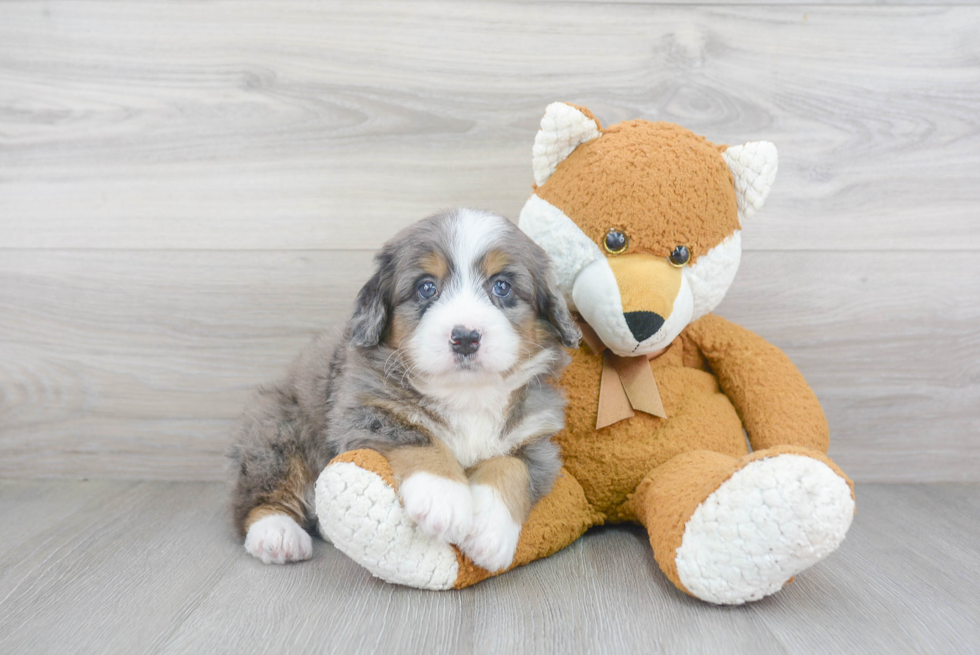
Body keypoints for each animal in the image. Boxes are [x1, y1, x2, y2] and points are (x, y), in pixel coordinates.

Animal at [228, 208, 580, 572]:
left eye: (502, 286)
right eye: (426, 287)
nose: (465, 337)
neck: (466, 393)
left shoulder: (536, 439)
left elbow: (511, 466)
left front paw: (488, 532)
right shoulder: (363, 411)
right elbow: (419, 435)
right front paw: (444, 498)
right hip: (278, 430)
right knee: (258, 496)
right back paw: (277, 534)